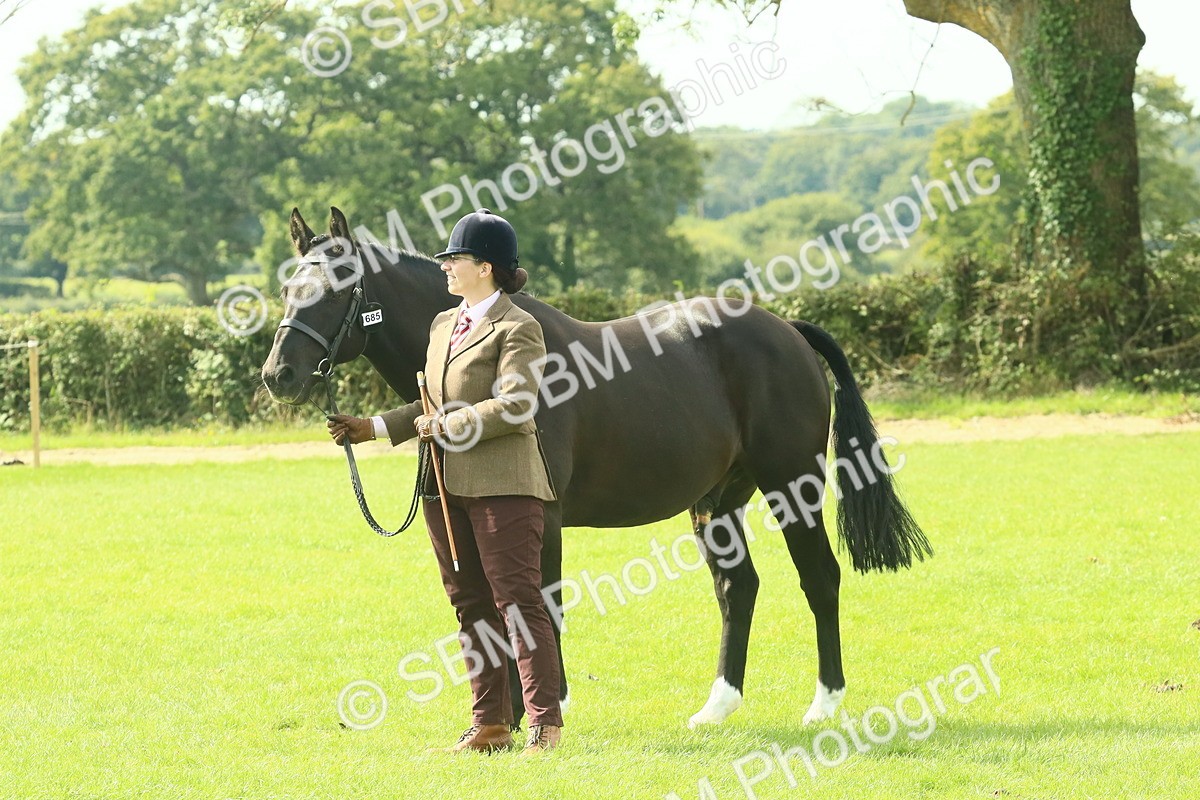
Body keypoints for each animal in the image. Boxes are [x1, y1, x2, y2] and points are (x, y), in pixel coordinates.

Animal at [260, 207, 931, 729]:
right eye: (288, 289)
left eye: (336, 289)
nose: (278, 375)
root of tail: (786, 329)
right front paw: (508, 720)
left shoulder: (544, 516)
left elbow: (539, 606)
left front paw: (547, 711)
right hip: (717, 502)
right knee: (738, 588)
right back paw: (716, 708)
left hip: (792, 485)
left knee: (820, 578)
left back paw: (824, 704)